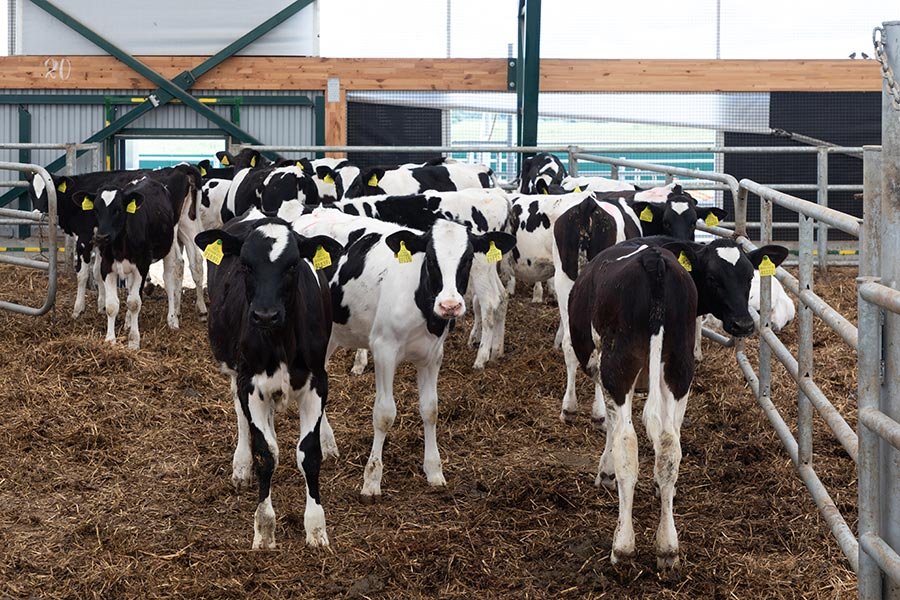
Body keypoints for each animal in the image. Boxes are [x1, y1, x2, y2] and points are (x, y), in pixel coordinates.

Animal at [74, 177, 183, 349]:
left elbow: (134, 303)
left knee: (169, 280)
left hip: (170, 245)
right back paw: (128, 321)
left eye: (118, 209)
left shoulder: (142, 266)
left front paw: (133, 341)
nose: (102, 237)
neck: (121, 245)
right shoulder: (107, 267)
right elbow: (112, 305)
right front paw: (110, 339)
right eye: (96, 209)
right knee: (131, 288)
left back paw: (172, 320)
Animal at [195, 212, 343, 549]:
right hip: (235, 372)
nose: (265, 315)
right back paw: (241, 465)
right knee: (242, 418)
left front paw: (316, 528)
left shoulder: (317, 381)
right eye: (246, 265)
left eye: (293, 265)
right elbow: (266, 453)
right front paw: (264, 528)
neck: (280, 342)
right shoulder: (249, 383)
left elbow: (308, 453)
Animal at [287, 207, 515, 501]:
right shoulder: (384, 350)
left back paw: (327, 445)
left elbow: (430, 409)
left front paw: (434, 471)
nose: (449, 305)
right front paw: (372, 480)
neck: (423, 307)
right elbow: (384, 414)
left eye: (467, 259)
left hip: (332, 337)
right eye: (431, 259)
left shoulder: (433, 355)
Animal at [567, 237, 788, 570]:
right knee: (670, 445)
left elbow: (613, 428)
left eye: (748, 277)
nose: (743, 323)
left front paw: (606, 473)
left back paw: (623, 545)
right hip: (679, 367)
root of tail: (655, 262)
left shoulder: (602, 369)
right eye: (714, 277)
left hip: (618, 367)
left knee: (628, 443)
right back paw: (668, 547)